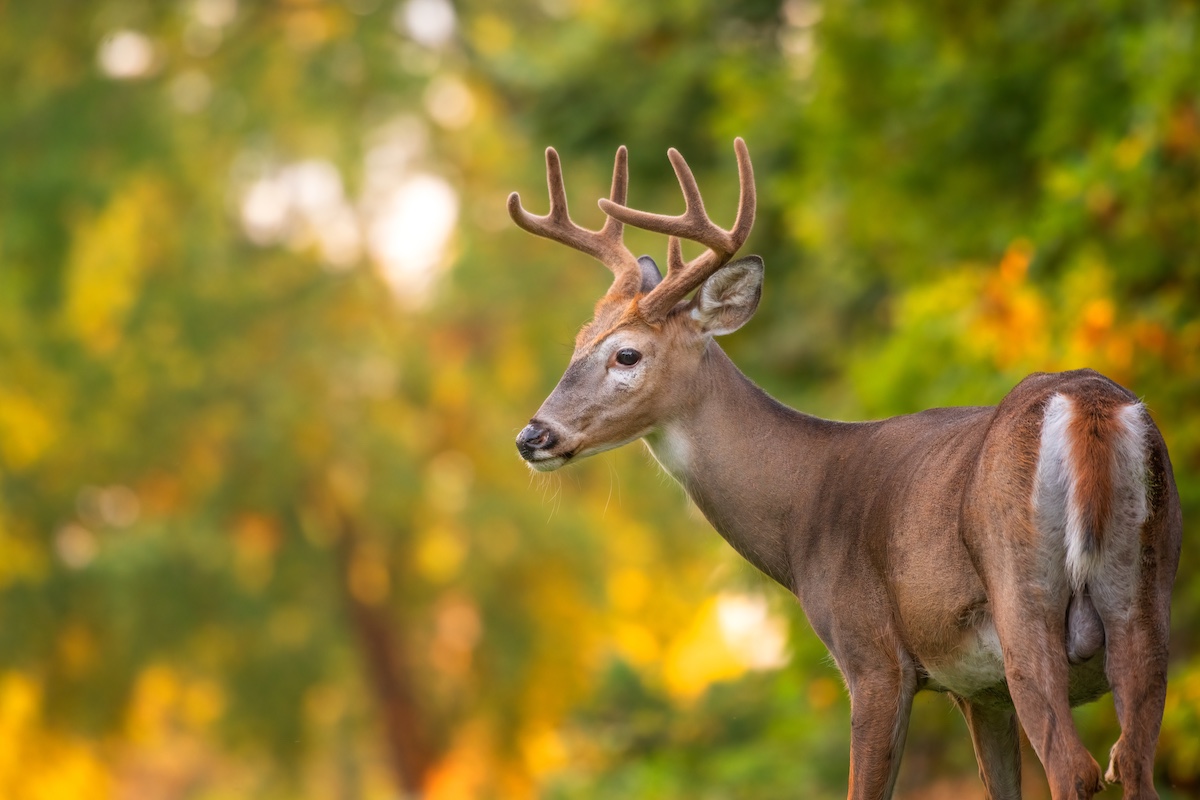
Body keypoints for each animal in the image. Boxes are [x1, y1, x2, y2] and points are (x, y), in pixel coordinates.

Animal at [508, 138, 1182, 800]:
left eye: (627, 355)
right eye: (576, 344)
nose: (532, 436)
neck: (804, 507)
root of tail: (1088, 404)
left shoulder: (872, 654)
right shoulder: (977, 689)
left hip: (1022, 595)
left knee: (1076, 767)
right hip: (1145, 598)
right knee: (1133, 762)